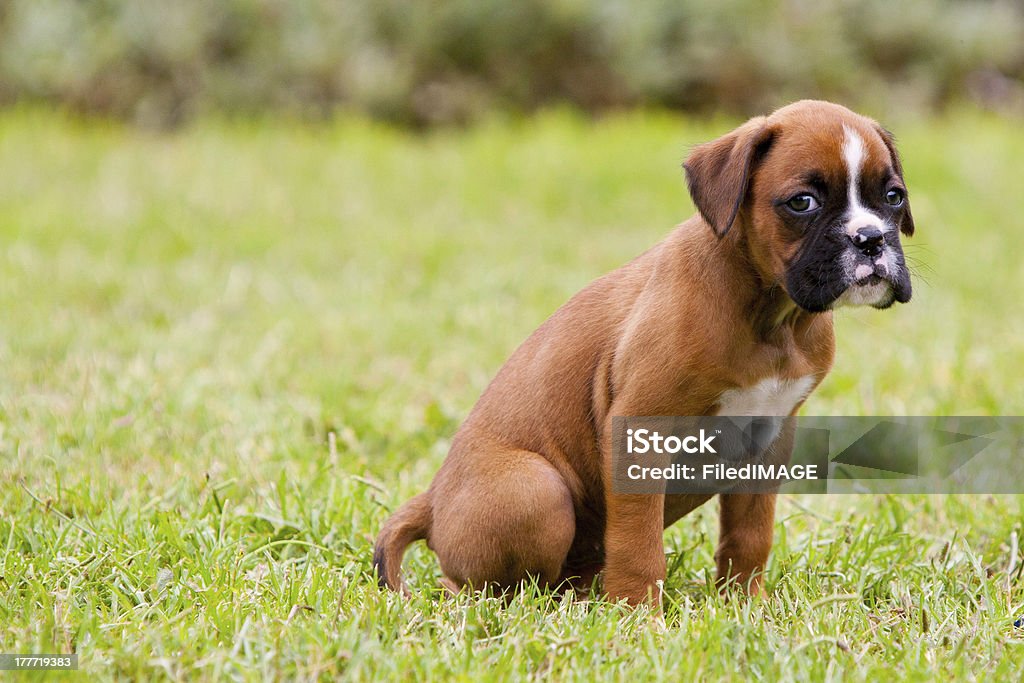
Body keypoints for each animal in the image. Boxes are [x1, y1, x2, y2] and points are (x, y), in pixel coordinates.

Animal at [372, 100, 917, 602]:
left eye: (893, 197)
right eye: (802, 202)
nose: (870, 238)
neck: (771, 315)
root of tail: (432, 500)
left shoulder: (771, 437)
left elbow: (750, 534)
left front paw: (745, 604)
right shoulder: (640, 432)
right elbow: (638, 543)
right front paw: (640, 616)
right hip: (535, 490)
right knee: (473, 587)